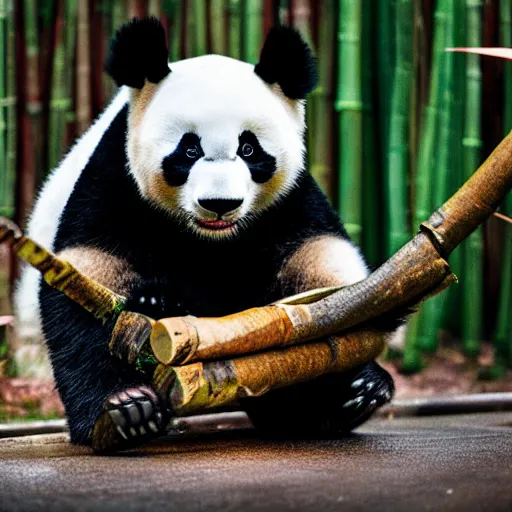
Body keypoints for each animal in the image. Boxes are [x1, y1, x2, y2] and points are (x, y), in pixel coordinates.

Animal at [13, 17, 396, 452]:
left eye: (249, 149)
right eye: (189, 150)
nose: (220, 203)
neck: (211, 239)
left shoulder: (291, 199)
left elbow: (318, 269)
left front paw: (346, 387)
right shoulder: (115, 182)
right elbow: (89, 277)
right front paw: (125, 406)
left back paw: (349, 398)